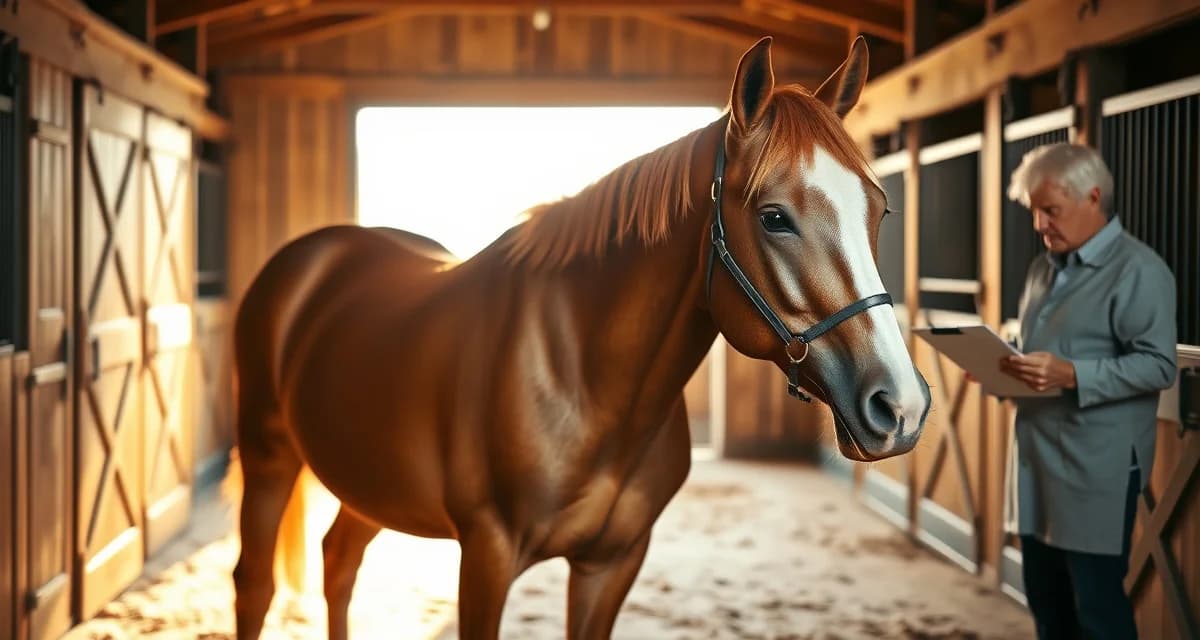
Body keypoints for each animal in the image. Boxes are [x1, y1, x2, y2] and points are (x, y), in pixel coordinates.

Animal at [231, 36, 932, 640]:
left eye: (880, 209)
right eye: (774, 217)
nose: (900, 407)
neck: (584, 377)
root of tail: (311, 256)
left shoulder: (611, 562)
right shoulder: (485, 557)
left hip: (371, 482)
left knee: (338, 561)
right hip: (269, 457)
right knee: (254, 585)